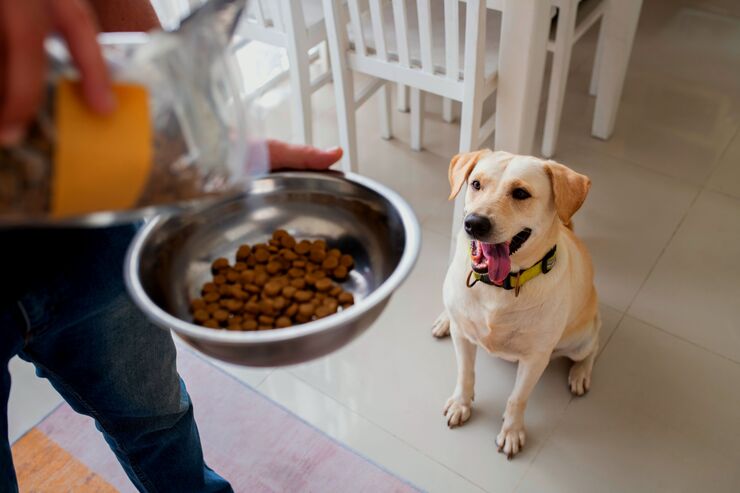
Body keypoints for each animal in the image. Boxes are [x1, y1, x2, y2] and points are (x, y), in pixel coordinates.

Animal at [430, 149, 600, 458]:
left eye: (521, 193)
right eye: (476, 184)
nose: (474, 223)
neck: (498, 287)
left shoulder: (535, 359)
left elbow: (517, 398)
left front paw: (511, 431)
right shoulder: (463, 338)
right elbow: (465, 374)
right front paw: (461, 403)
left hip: (580, 339)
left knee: (592, 348)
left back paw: (580, 373)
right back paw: (444, 319)